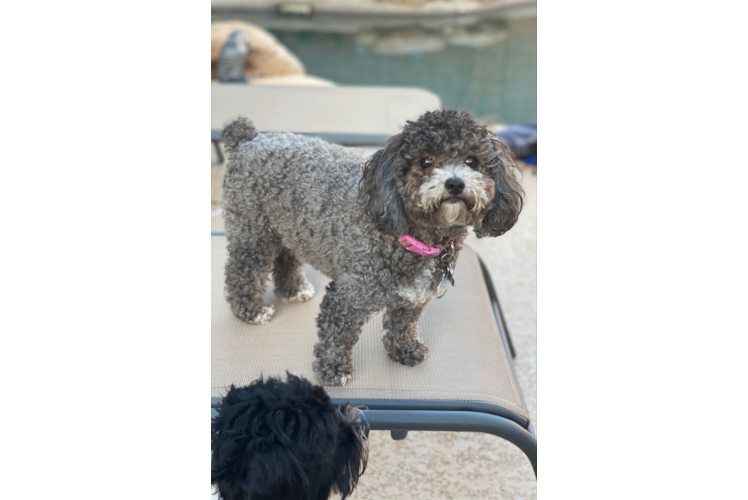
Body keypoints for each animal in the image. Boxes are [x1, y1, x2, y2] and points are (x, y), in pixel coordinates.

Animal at [222, 110, 524, 386]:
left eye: (472, 161)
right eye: (426, 161)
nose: (455, 183)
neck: (412, 239)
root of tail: (250, 139)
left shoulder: (413, 297)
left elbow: (403, 324)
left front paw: (404, 350)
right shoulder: (348, 295)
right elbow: (336, 334)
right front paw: (333, 370)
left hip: (287, 228)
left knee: (285, 258)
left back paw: (294, 290)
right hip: (253, 232)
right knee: (242, 271)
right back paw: (251, 310)